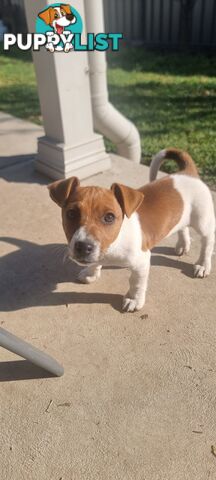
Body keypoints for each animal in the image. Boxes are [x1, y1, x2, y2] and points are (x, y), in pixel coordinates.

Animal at [48, 150, 215, 316]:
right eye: (71, 214)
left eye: (109, 217)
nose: (83, 247)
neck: (114, 243)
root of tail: (187, 172)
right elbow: (95, 262)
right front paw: (91, 273)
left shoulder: (142, 261)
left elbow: (136, 283)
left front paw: (134, 300)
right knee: (182, 227)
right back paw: (183, 244)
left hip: (203, 221)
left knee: (207, 242)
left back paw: (203, 265)